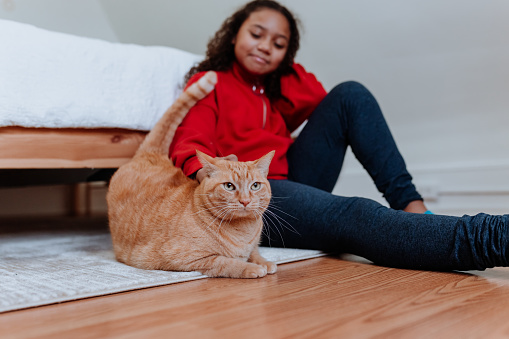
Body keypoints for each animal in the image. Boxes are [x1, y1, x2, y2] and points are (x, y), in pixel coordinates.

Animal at [105, 71, 276, 278]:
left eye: (255, 186)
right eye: (229, 186)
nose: (245, 201)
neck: (243, 232)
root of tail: (151, 154)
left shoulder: (251, 246)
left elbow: (254, 252)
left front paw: (264, 262)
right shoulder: (187, 258)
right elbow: (226, 262)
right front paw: (251, 268)